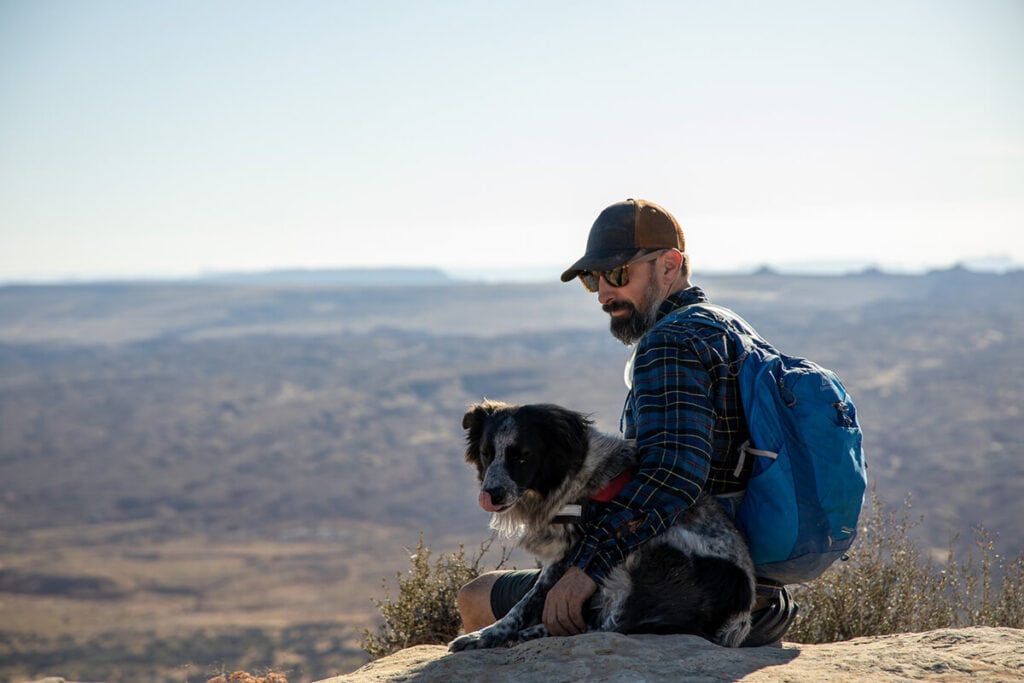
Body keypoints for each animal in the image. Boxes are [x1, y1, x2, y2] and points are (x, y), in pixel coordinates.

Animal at [448, 401, 753, 651]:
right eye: (487, 454)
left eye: (523, 456)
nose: (491, 494)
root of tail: (739, 619)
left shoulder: (570, 554)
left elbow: (525, 603)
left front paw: (485, 635)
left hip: (653, 552)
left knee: (616, 623)